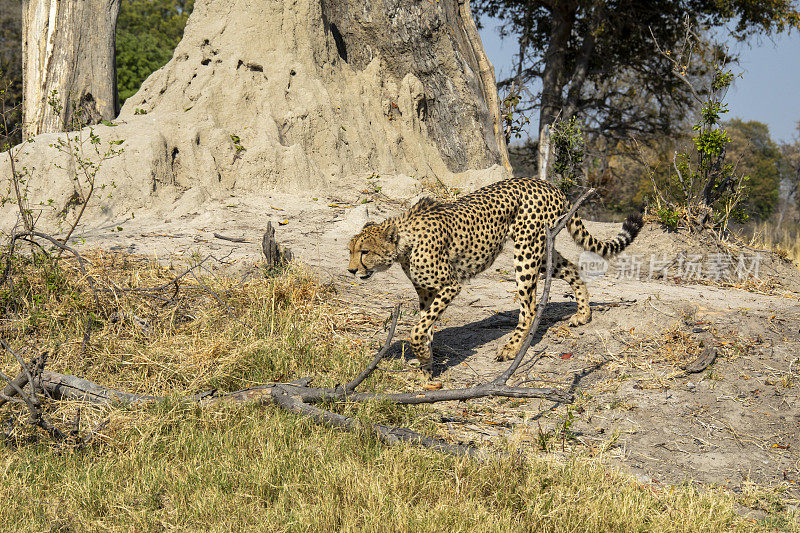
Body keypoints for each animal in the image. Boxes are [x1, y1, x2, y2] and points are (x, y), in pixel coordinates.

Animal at [348, 176, 644, 374]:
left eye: (364, 252)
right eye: (350, 251)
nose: (351, 269)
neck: (404, 242)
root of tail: (548, 184)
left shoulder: (450, 285)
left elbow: (419, 328)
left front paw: (423, 355)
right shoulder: (427, 292)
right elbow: (426, 325)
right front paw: (426, 361)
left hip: (527, 252)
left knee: (530, 307)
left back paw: (511, 348)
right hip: (542, 252)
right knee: (572, 269)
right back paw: (583, 314)